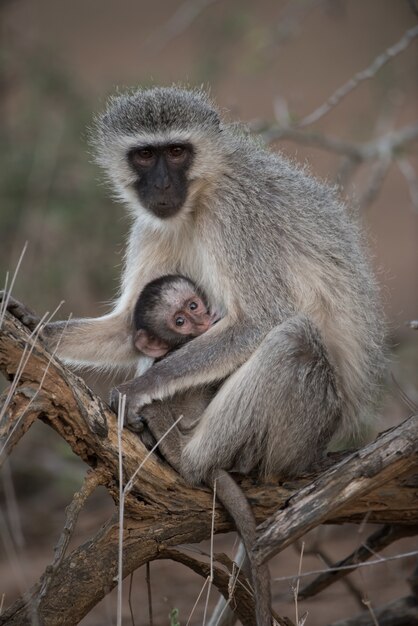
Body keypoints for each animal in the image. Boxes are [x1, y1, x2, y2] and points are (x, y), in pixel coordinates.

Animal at [16, 85, 384, 482]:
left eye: (177, 151)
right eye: (145, 155)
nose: (162, 184)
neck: (201, 195)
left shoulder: (235, 211)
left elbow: (260, 320)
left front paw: (141, 387)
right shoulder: (152, 225)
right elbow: (132, 324)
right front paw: (36, 327)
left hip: (300, 435)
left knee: (293, 340)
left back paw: (187, 459)